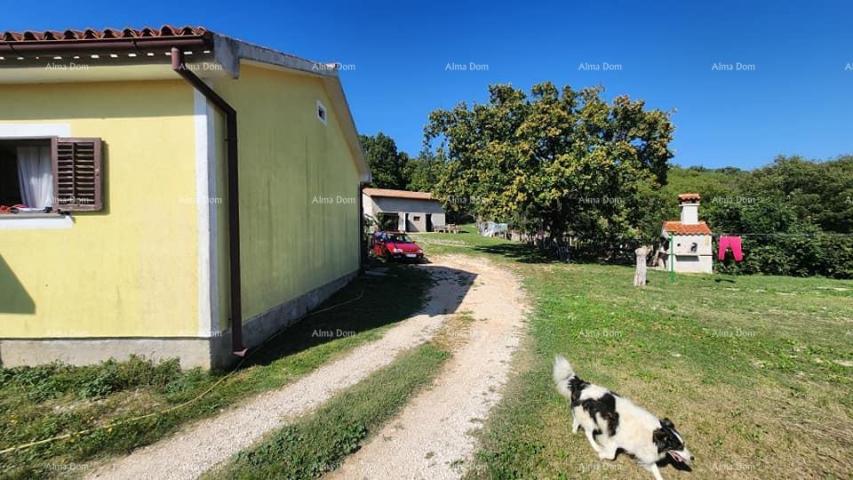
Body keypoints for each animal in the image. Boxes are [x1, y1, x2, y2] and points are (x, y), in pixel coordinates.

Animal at [552, 354, 692, 478]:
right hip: (590, 419)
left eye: (683, 444)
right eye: (678, 446)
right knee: (588, 432)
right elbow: (611, 455)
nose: (693, 457)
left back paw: (574, 431)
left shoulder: (643, 452)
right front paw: (601, 454)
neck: (652, 435)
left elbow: (656, 470)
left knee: (576, 420)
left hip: (584, 414)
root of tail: (581, 384)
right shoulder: (615, 439)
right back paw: (596, 446)